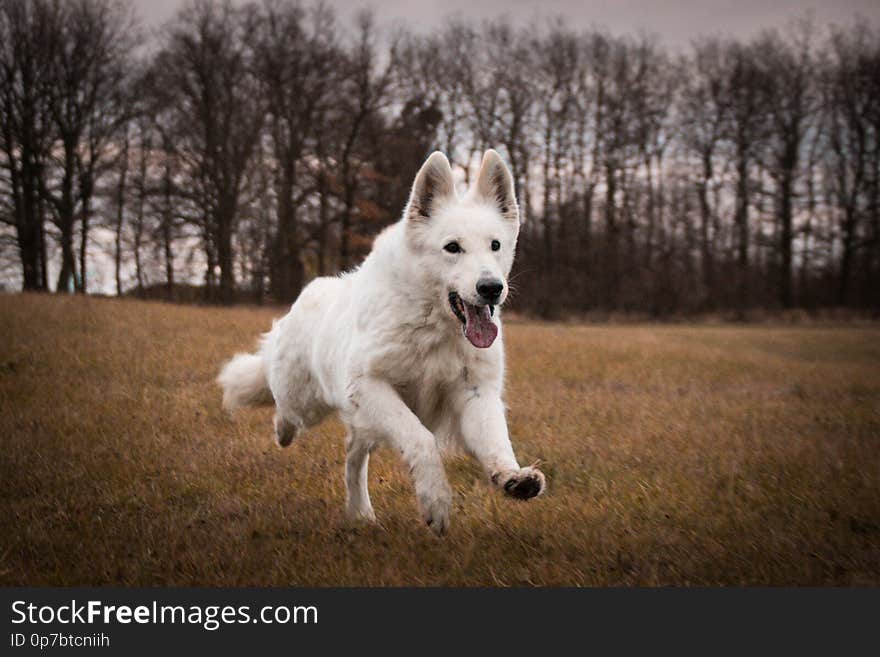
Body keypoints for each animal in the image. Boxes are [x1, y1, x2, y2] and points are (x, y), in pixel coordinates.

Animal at [219, 150, 544, 532]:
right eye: (452, 248)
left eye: (495, 245)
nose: (492, 288)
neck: (433, 324)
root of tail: (308, 296)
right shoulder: (371, 387)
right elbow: (421, 439)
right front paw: (435, 501)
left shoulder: (475, 394)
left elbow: (496, 442)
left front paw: (513, 477)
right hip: (305, 401)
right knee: (283, 405)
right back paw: (283, 431)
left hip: (362, 424)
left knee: (353, 458)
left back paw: (360, 511)